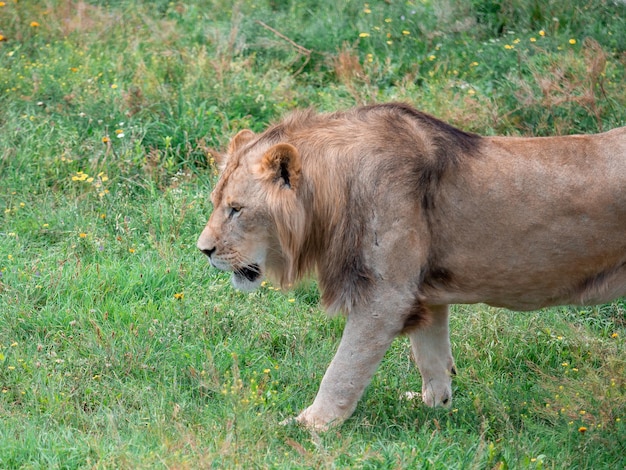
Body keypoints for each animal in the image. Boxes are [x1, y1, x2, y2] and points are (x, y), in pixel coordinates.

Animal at [196, 103, 624, 430]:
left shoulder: (385, 296)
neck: (332, 194)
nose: (203, 250)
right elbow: (431, 355)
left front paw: (308, 425)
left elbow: (343, 369)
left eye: (236, 209)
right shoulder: (423, 292)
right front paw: (435, 405)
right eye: (217, 201)